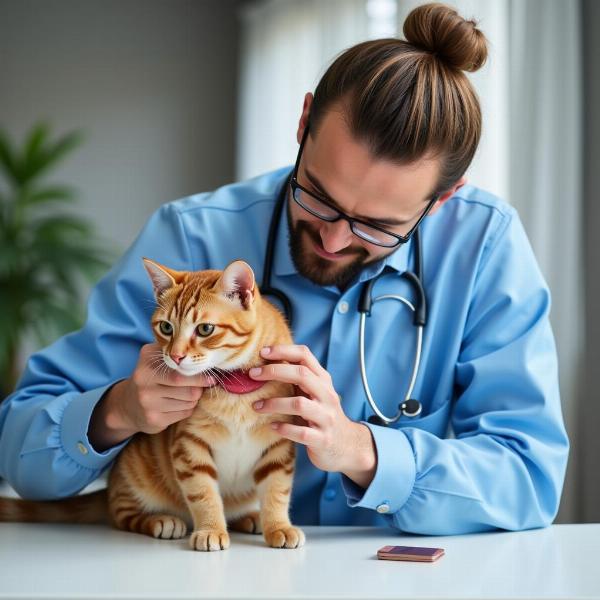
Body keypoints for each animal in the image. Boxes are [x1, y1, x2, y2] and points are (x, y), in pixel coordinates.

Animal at [1, 260, 304, 552]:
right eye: (166, 327)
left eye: (205, 329)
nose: (176, 356)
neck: (235, 389)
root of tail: (110, 486)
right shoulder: (189, 445)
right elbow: (203, 493)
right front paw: (210, 529)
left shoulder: (279, 445)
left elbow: (277, 491)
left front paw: (278, 526)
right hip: (134, 476)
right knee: (122, 515)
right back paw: (161, 520)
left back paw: (251, 517)